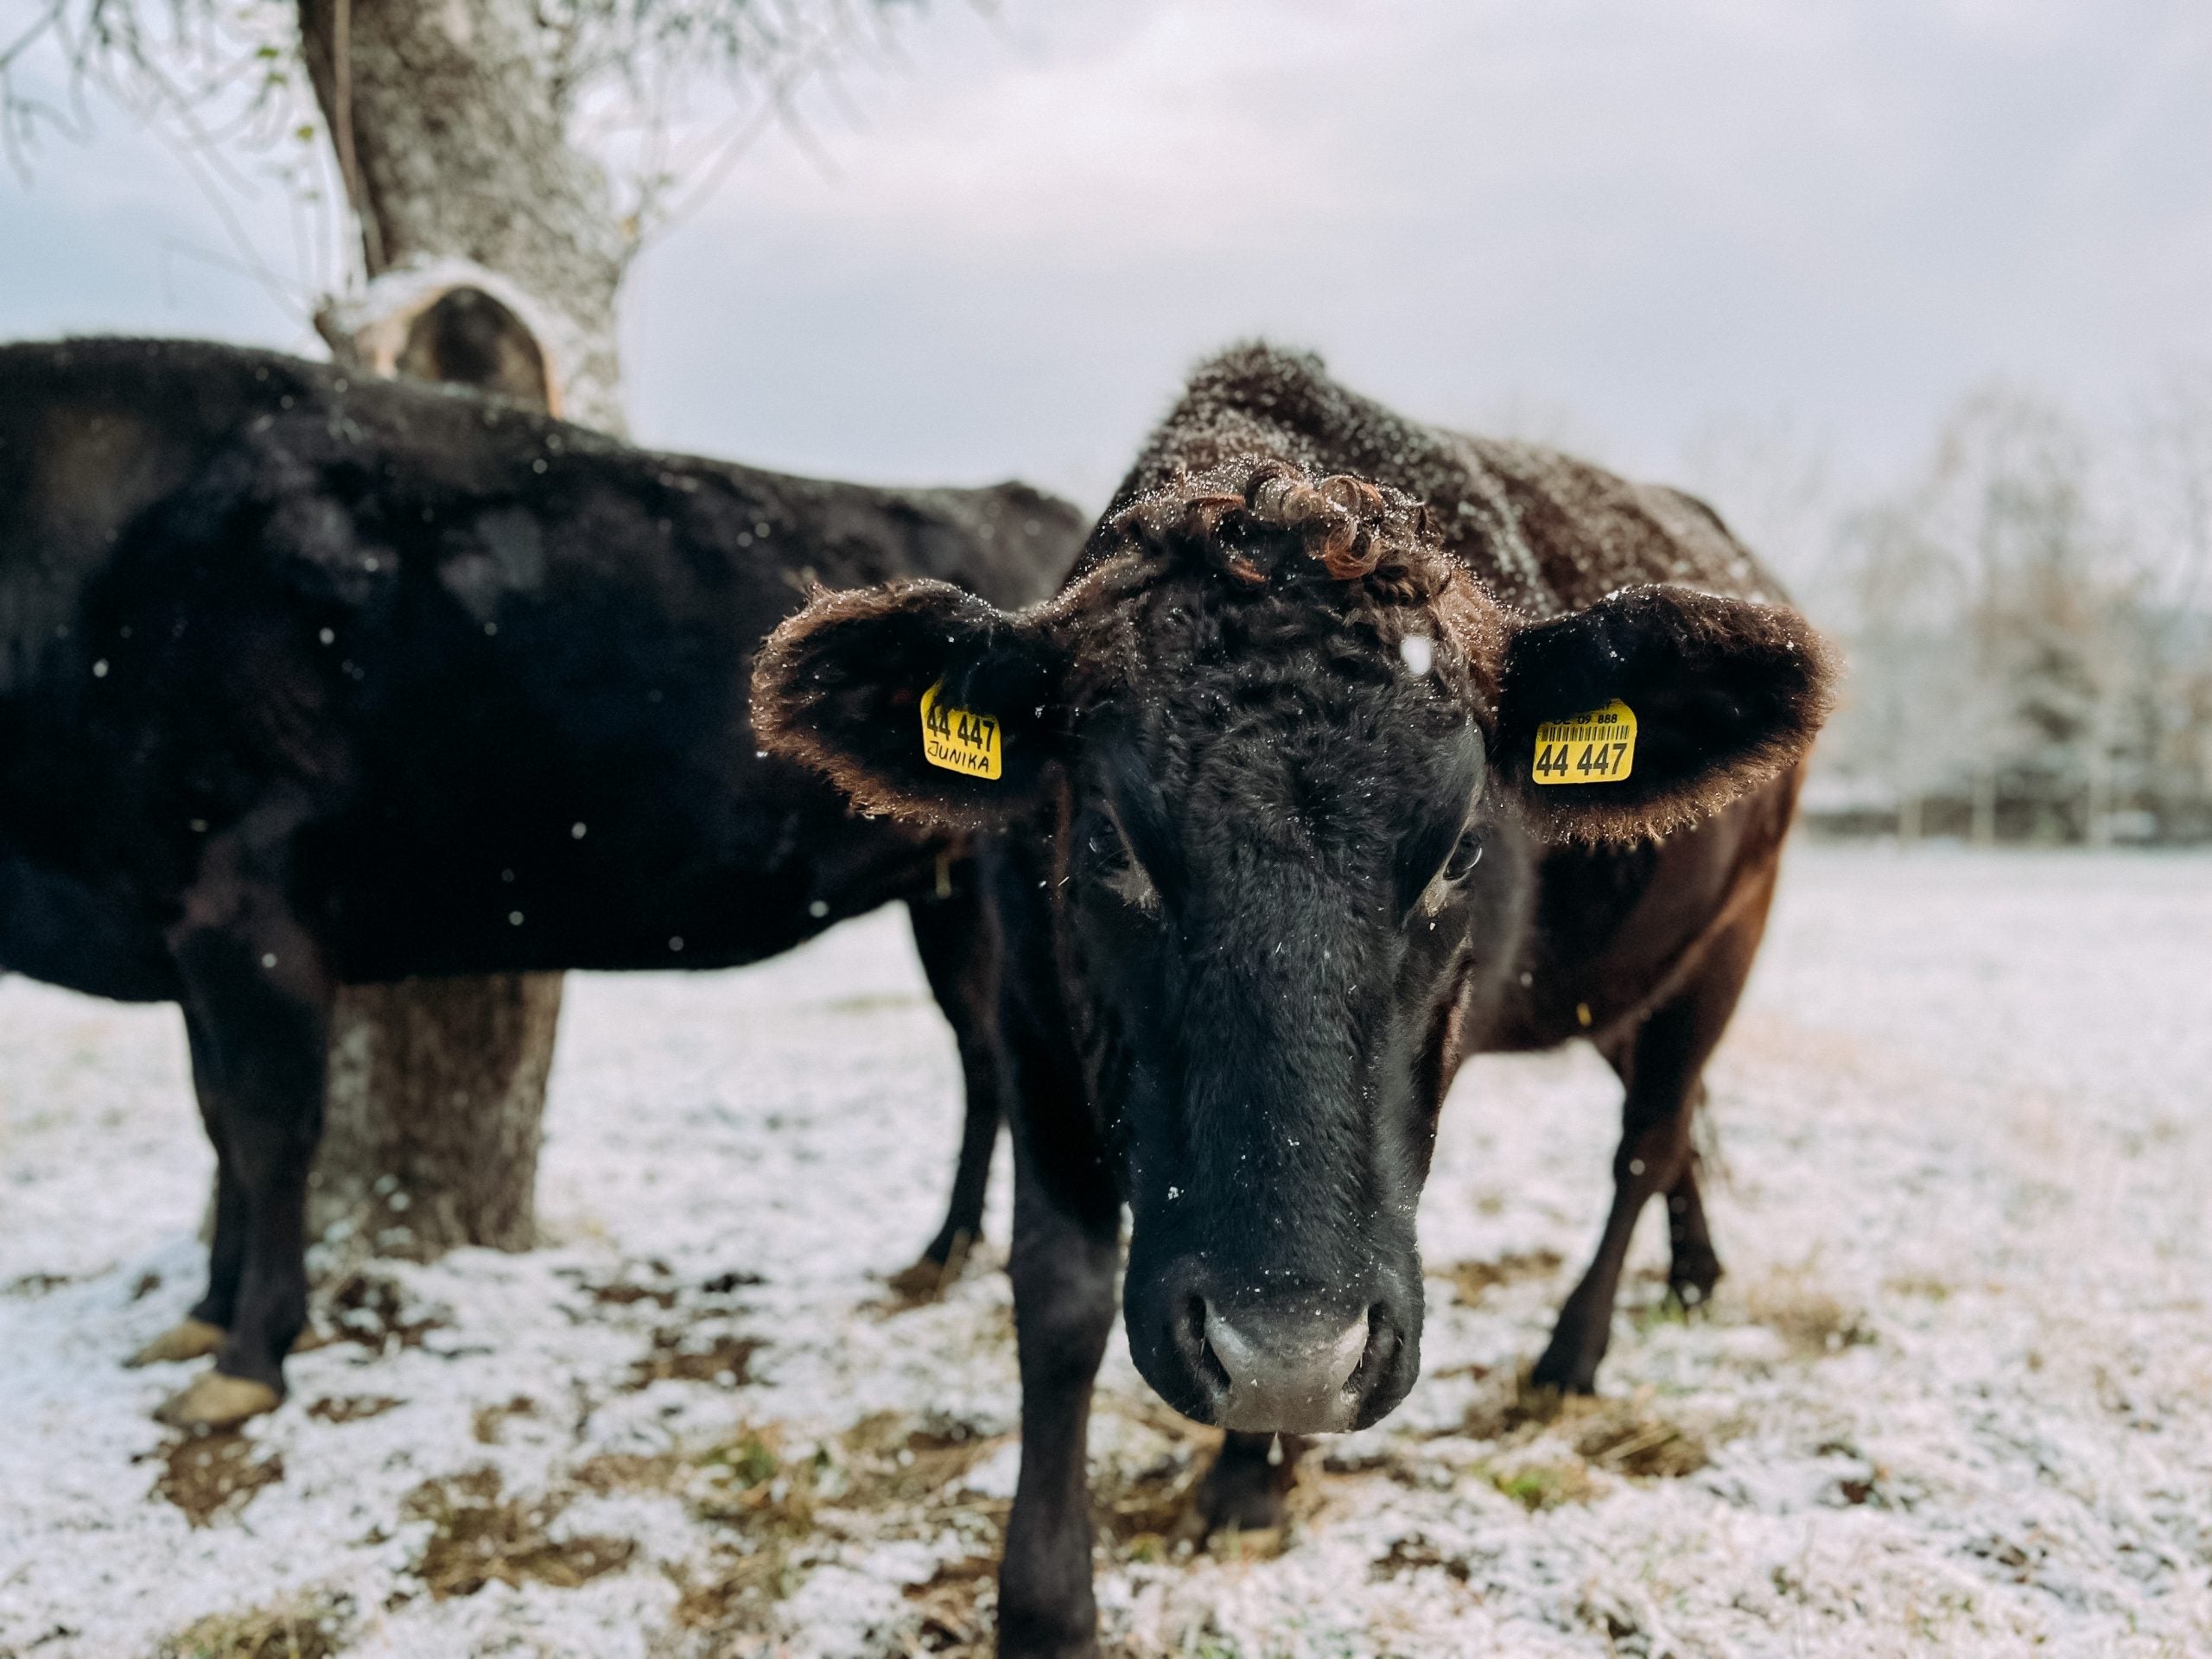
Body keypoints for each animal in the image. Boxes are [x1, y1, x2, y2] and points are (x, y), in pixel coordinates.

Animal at [0, 336, 1084, 1428]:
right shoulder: (184, 933)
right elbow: (217, 1118)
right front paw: (205, 1316)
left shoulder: (248, 916)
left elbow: (269, 1135)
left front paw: (250, 1356)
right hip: (946, 899)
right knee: (981, 1061)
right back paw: (939, 1258)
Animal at [752, 343, 1838, 1657]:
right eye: (1107, 839)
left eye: (1464, 851)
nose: (1287, 1355)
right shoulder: (1027, 1022)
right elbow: (1056, 1298)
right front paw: (1047, 1604)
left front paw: (1253, 1473)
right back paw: (1695, 1274)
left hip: (1731, 936)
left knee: (1647, 1138)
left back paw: (1571, 1356)